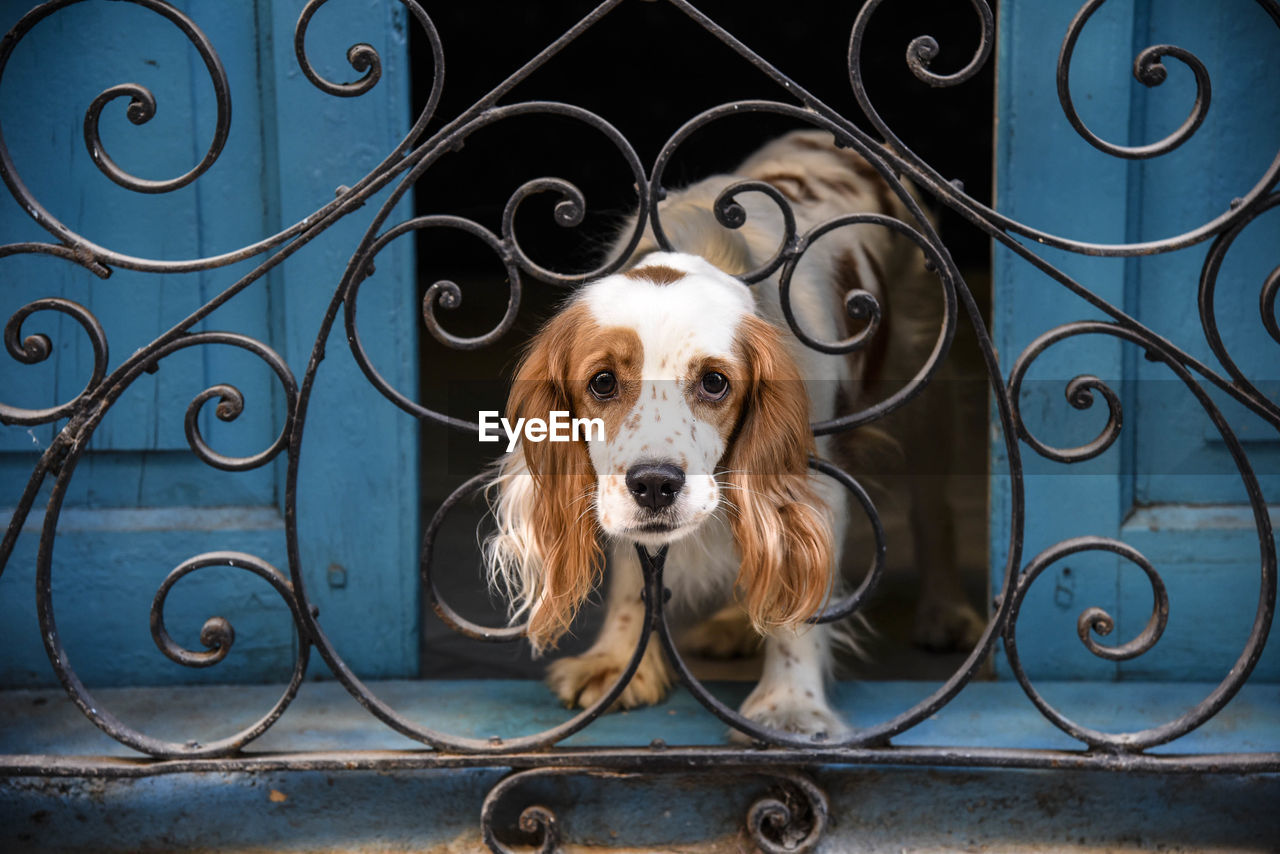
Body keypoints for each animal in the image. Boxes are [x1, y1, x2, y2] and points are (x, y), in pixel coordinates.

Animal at [481, 130, 977, 737]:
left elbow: (795, 598)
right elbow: (633, 572)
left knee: (933, 508)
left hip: (926, 381)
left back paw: (945, 610)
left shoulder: (813, 478)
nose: (655, 485)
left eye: (715, 382)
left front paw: (789, 705)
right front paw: (619, 661)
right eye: (601, 382)